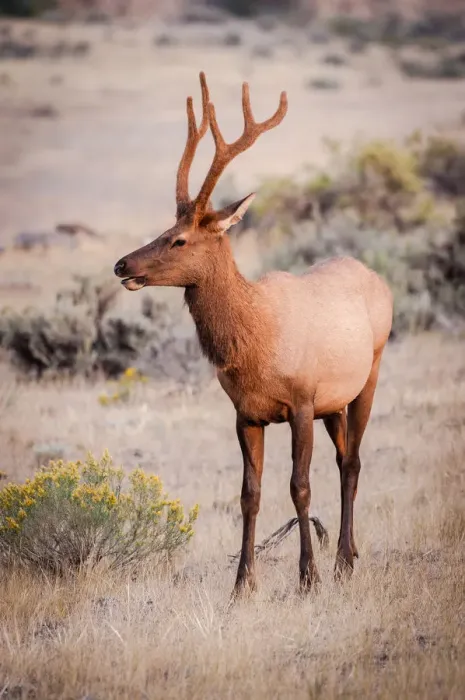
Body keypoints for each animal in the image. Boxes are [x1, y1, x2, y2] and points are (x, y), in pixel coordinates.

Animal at [114, 72, 393, 596]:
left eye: (179, 239)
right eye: (164, 229)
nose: (122, 264)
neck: (254, 345)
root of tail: (377, 279)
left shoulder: (301, 401)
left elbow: (299, 487)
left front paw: (308, 577)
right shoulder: (246, 414)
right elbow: (250, 493)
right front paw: (243, 583)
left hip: (369, 374)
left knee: (353, 462)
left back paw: (342, 561)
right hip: (333, 403)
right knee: (345, 457)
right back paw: (349, 554)